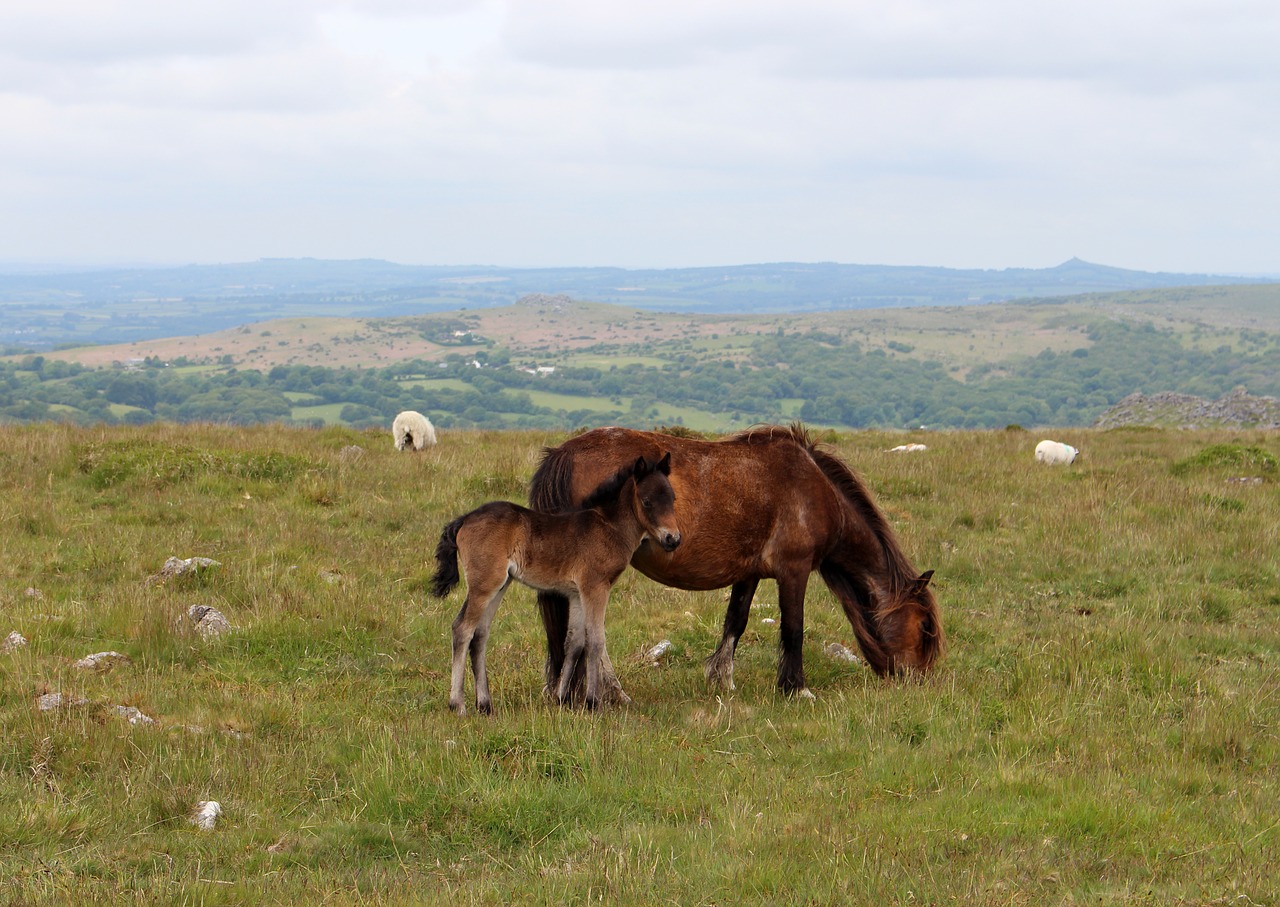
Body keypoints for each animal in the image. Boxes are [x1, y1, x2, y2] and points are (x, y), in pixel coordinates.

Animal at [430, 452, 680, 716]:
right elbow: (595, 640)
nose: (673, 539)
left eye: (673, 498)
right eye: (647, 502)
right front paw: (592, 702)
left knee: (480, 635)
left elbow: (574, 642)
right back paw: (458, 704)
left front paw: (562, 699)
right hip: (484, 585)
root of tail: (464, 519)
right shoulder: (595, 587)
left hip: (499, 585)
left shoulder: (577, 593)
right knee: (462, 629)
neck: (607, 526)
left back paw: (485, 705)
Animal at [529, 427, 942, 701]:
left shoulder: (749, 573)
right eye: (924, 627)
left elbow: (736, 621)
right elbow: (793, 628)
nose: (919, 682)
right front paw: (796, 688)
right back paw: (612, 692)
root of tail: (564, 453)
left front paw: (722, 678)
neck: (815, 491)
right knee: (590, 631)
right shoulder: (793, 570)